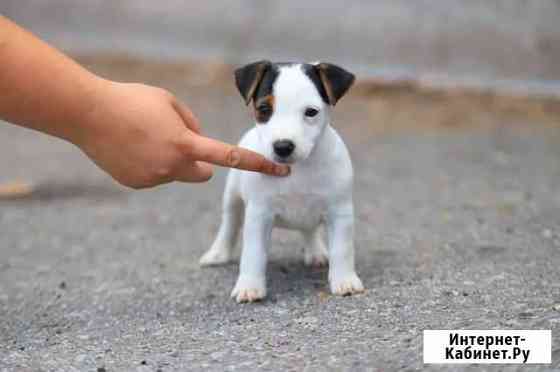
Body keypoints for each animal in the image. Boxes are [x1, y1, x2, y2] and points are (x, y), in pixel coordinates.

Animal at [199, 58, 366, 302]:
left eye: (311, 112)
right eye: (264, 109)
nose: (283, 146)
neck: (298, 169)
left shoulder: (340, 211)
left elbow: (342, 250)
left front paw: (345, 281)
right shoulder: (259, 215)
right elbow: (253, 254)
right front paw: (249, 286)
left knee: (309, 230)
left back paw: (316, 252)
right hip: (232, 197)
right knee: (229, 225)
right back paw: (218, 253)